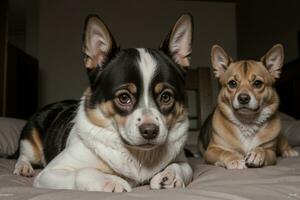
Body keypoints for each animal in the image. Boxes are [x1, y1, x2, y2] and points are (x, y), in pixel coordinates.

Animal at [13, 14, 192, 192]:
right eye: (124, 98)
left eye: (166, 97)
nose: (150, 131)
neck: (137, 154)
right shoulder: (50, 172)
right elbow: (83, 172)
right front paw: (111, 181)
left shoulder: (183, 162)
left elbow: (182, 166)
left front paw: (170, 175)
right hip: (30, 141)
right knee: (23, 155)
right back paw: (23, 167)